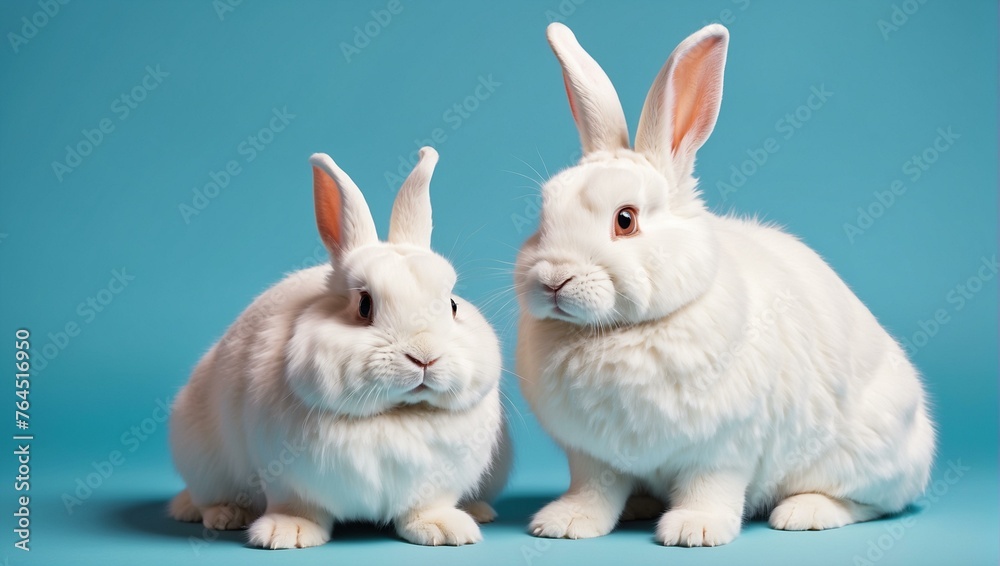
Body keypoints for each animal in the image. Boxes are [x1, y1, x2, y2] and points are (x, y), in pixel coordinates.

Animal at [168, 146, 510, 549]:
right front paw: (287, 533)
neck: (396, 414)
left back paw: (478, 511)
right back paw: (224, 515)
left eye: (453, 305)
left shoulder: (438, 482)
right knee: (206, 497)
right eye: (364, 305)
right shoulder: (286, 479)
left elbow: (427, 506)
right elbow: (296, 506)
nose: (425, 357)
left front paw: (444, 529)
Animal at [514, 22, 935, 547]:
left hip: (860, 455)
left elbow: (709, 487)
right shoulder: (592, 455)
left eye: (625, 220)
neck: (617, 332)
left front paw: (693, 529)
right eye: (543, 213)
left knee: (872, 504)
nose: (553, 279)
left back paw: (805, 512)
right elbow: (594, 489)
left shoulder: (723, 448)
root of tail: (921, 444)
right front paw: (566, 523)